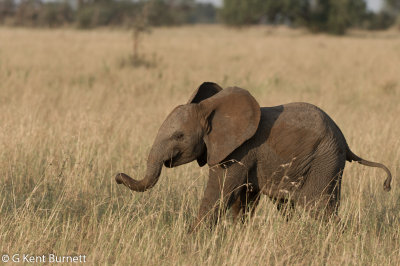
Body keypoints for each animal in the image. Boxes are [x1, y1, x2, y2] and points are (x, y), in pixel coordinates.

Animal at [114, 82, 392, 230]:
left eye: (179, 136)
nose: (117, 176)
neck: (211, 110)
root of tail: (345, 141)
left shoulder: (239, 151)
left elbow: (220, 193)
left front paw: (191, 240)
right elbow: (244, 200)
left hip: (325, 161)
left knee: (320, 209)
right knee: (287, 206)